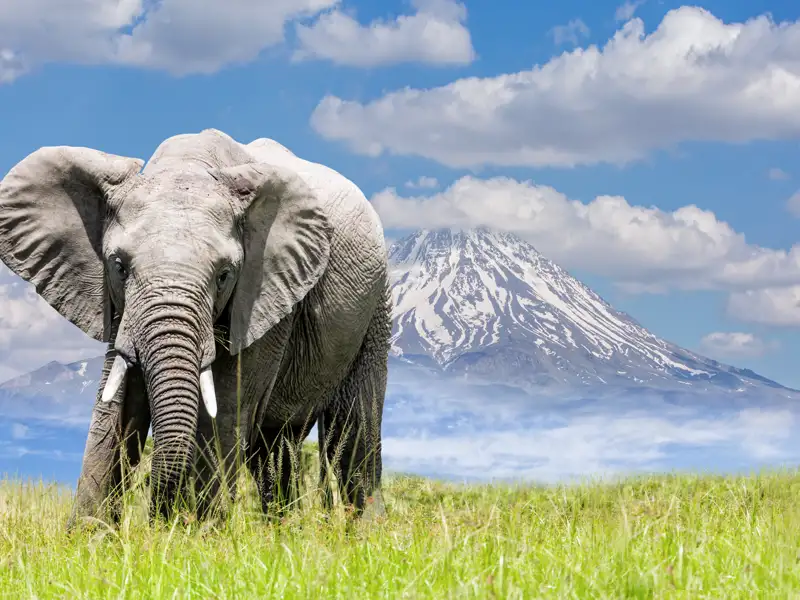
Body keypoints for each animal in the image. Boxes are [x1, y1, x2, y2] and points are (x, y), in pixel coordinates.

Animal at [0, 128, 392, 525]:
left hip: (376, 303)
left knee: (352, 432)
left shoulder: (264, 295)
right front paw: (89, 533)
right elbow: (116, 405)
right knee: (277, 446)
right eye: (119, 266)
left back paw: (363, 530)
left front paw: (202, 534)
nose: (160, 516)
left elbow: (225, 409)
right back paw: (283, 530)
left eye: (224, 275)